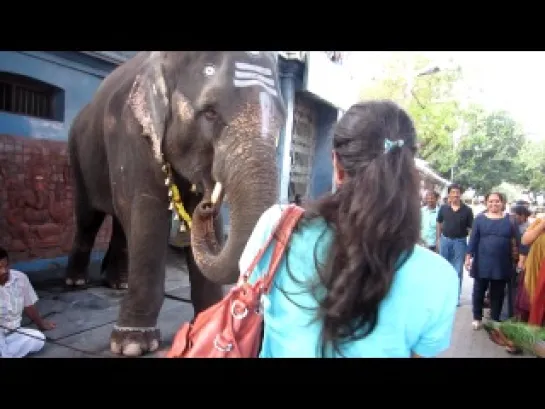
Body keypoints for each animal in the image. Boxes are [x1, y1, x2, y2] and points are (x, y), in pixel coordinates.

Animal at [65, 51, 284, 356]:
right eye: (210, 112)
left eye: (281, 120)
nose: (206, 205)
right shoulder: (131, 133)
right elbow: (147, 212)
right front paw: (132, 344)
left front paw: (207, 324)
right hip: (78, 153)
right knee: (89, 217)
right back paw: (76, 282)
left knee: (121, 221)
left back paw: (119, 283)